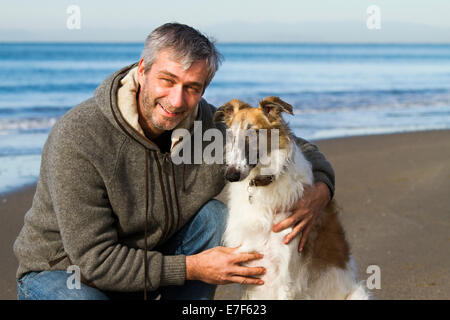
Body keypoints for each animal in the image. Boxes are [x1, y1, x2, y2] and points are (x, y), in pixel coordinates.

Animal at [214, 96, 370, 298]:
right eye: (232, 136)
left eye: (254, 132)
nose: (231, 174)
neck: (264, 183)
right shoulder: (247, 269)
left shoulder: (285, 276)